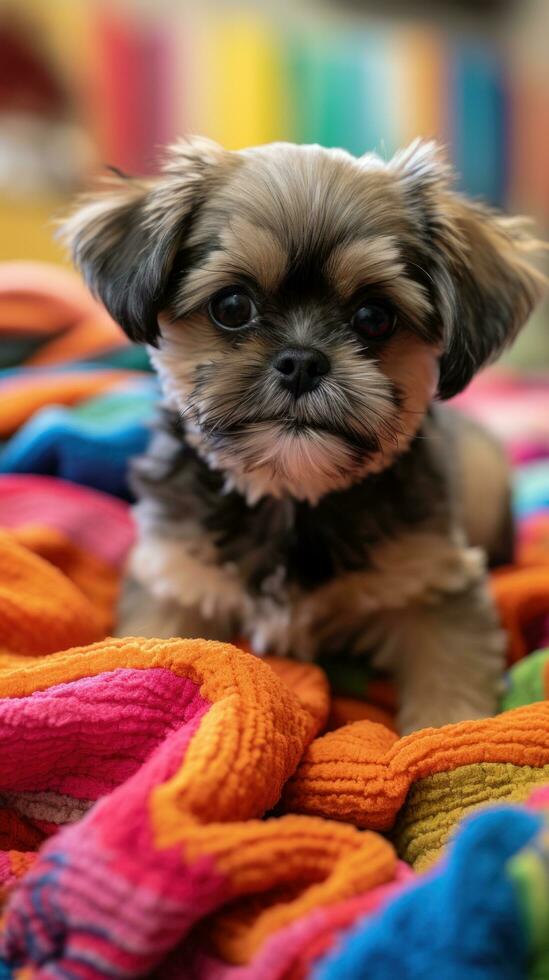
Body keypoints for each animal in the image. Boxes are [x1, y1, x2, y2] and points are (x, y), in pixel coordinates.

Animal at [63, 140, 544, 736]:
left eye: (374, 316)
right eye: (231, 306)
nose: (301, 361)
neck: (290, 496)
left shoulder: (434, 585)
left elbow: (448, 690)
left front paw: (444, 737)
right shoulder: (173, 580)